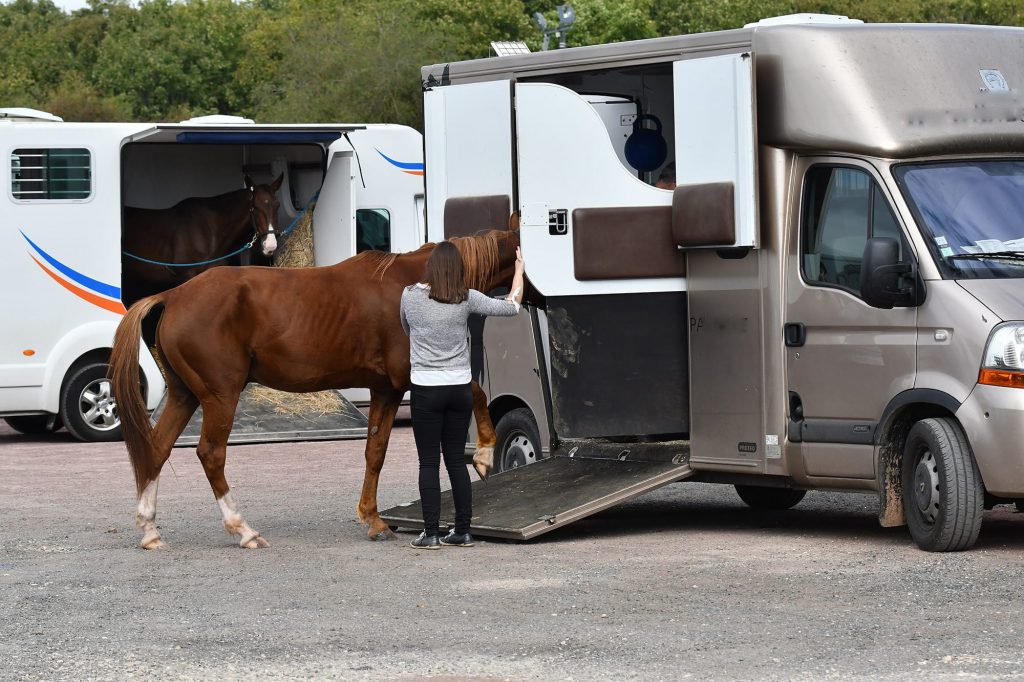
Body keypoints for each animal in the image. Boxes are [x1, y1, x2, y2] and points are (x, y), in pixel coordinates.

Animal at [110, 227, 520, 548]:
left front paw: (372, 519)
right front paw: (484, 453)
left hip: (184, 396)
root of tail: (174, 296)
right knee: (211, 454)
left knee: (156, 450)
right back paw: (243, 529)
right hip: (219, 397)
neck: (417, 281)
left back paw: (150, 531)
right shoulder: (412, 377)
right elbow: (476, 392)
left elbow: (375, 452)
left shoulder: (384, 391)